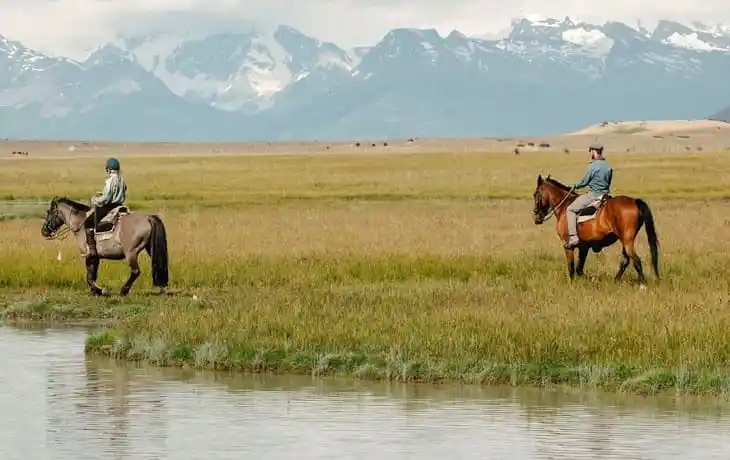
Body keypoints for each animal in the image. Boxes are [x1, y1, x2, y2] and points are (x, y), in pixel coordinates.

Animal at [40, 196, 169, 296]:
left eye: (49, 212)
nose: (44, 231)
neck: (80, 223)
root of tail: (147, 217)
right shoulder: (95, 256)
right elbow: (92, 274)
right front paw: (95, 291)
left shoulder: (88, 255)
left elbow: (89, 277)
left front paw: (100, 290)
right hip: (150, 248)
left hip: (130, 253)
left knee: (135, 271)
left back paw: (124, 290)